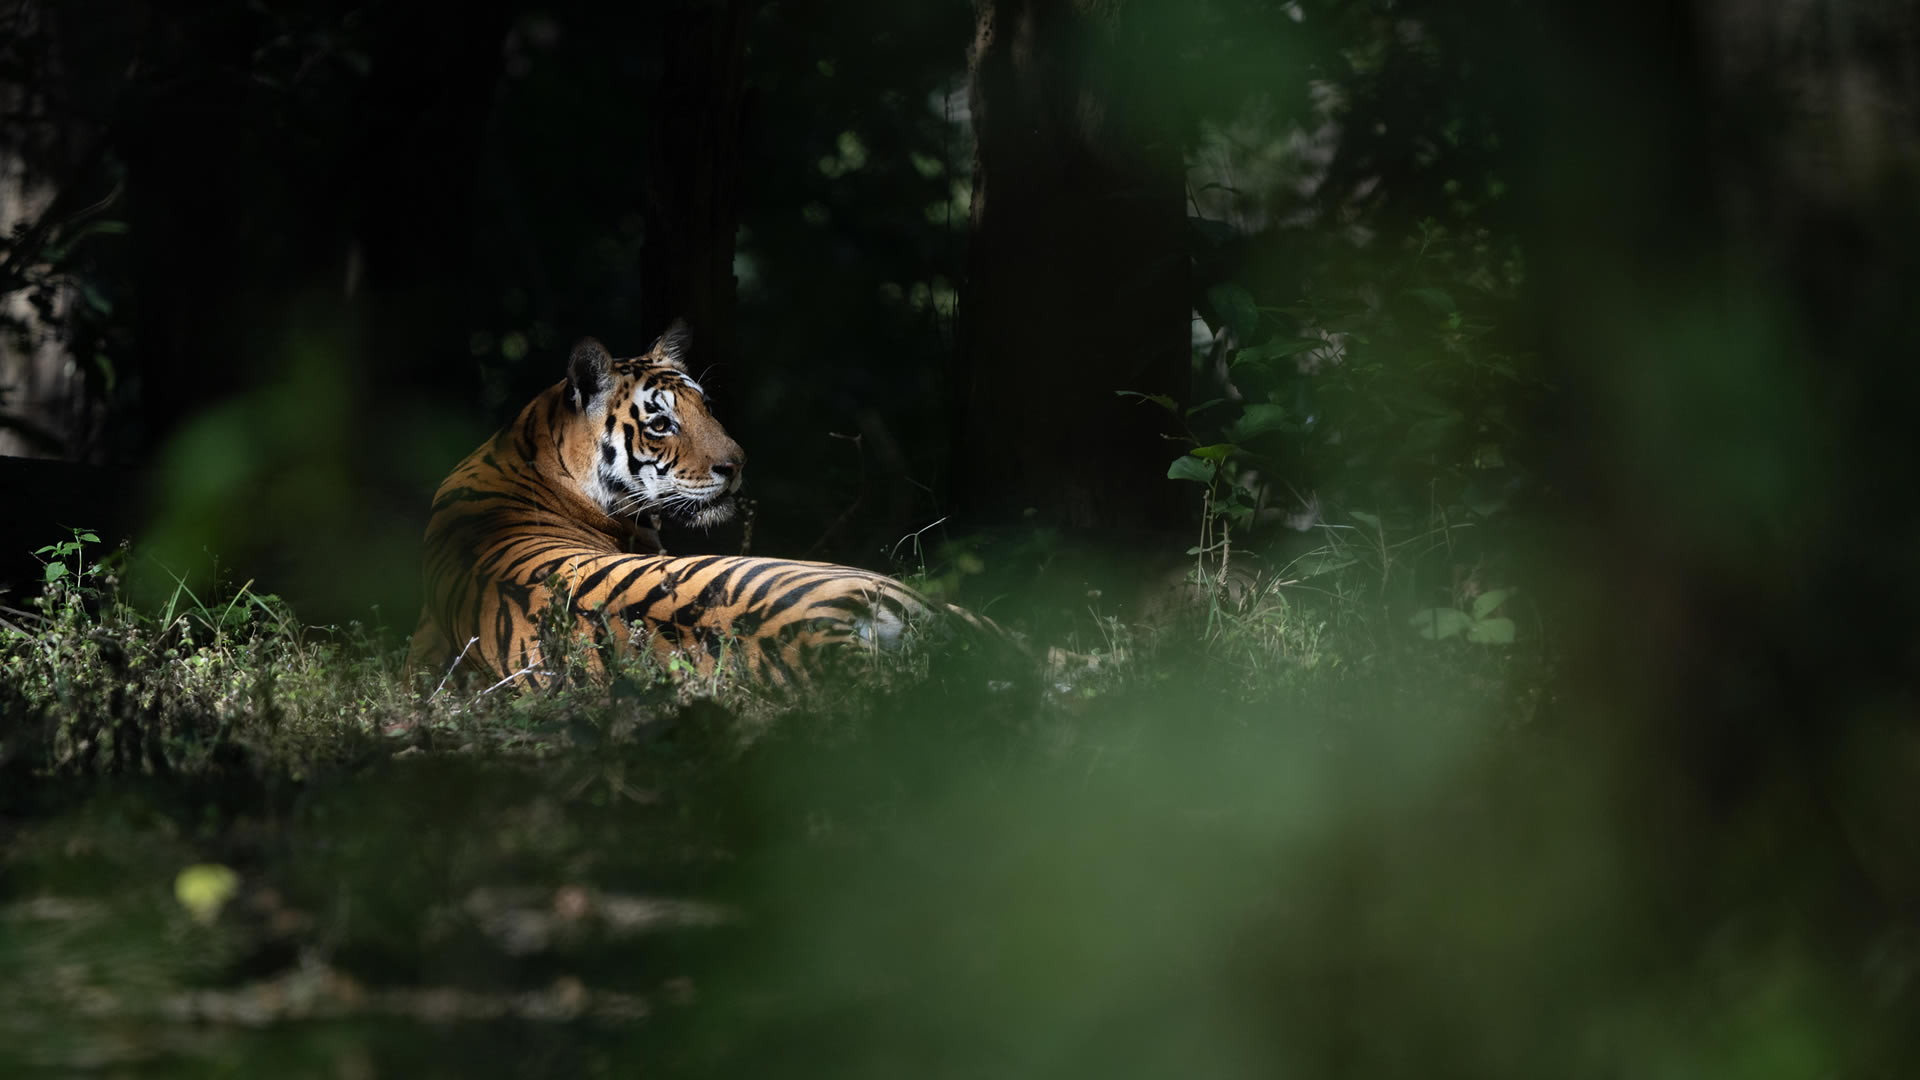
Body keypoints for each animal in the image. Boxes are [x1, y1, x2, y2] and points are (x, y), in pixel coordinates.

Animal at [407, 321, 1022, 692]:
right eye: (661, 423)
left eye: (706, 407)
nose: (738, 464)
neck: (528, 448)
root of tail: (816, 638)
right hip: (918, 596)